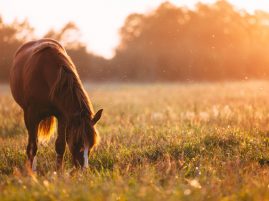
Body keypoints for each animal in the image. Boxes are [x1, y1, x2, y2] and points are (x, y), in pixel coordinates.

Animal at [9, 38, 102, 171]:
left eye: (91, 145)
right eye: (76, 142)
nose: (83, 169)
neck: (45, 74)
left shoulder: (63, 116)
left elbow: (60, 145)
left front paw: (58, 171)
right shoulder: (32, 115)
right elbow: (32, 147)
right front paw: (30, 172)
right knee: (33, 141)